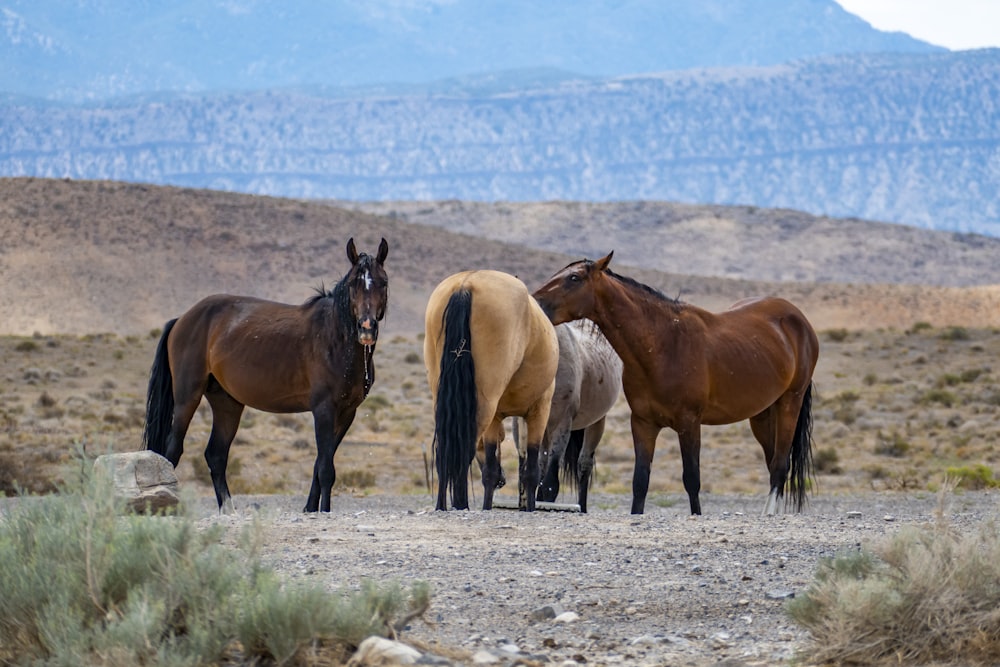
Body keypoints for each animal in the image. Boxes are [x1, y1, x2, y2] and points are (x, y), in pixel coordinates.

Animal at [143, 237, 388, 516]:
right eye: (354, 284)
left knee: (216, 455)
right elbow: (326, 469)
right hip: (187, 398)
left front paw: (310, 508)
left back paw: (229, 510)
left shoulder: (346, 413)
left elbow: (320, 464)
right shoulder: (324, 409)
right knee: (173, 450)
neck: (334, 338)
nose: (366, 328)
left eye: (383, 282)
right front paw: (323, 511)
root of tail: (182, 319)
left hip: (227, 403)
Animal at [424, 270, 560, 512]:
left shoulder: (496, 418)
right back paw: (460, 505)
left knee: (446, 451)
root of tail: (466, 284)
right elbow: (531, 473)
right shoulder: (539, 410)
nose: (504, 481)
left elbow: (490, 470)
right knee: (463, 449)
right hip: (486, 404)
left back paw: (443, 505)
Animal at [536, 253, 816, 520]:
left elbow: (692, 479)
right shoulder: (643, 424)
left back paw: (768, 514)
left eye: (574, 278)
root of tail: (798, 319)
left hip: (790, 403)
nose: (536, 303)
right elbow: (640, 482)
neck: (664, 345)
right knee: (772, 463)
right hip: (762, 414)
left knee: (780, 465)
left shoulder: (689, 423)